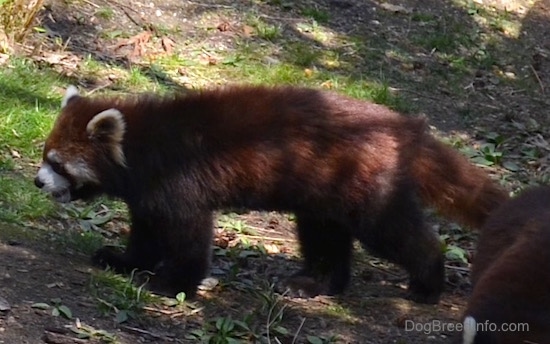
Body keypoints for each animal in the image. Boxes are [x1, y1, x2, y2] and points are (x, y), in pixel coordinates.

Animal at [33, 84, 508, 302]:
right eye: (44, 156)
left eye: (57, 164)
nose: (37, 182)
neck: (143, 144)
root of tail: (403, 128)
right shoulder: (148, 196)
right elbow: (147, 234)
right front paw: (123, 261)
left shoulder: (179, 183)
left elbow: (188, 236)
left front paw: (174, 283)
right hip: (325, 196)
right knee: (325, 238)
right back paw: (317, 283)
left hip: (367, 189)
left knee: (396, 234)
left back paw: (427, 283)